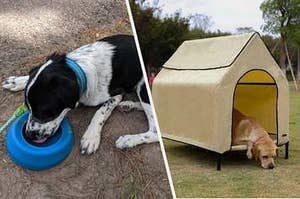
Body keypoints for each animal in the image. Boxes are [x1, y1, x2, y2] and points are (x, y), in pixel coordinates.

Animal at [1, 35, 159, 155]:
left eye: (46, 112)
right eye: (27, 107)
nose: (28, 135)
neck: (79, 69)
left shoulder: (117, 94)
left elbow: (100, 112)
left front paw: (90, 137)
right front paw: (17, 81)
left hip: (143, 87)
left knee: (155, 131)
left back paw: (128, 140)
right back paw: (129, 105)